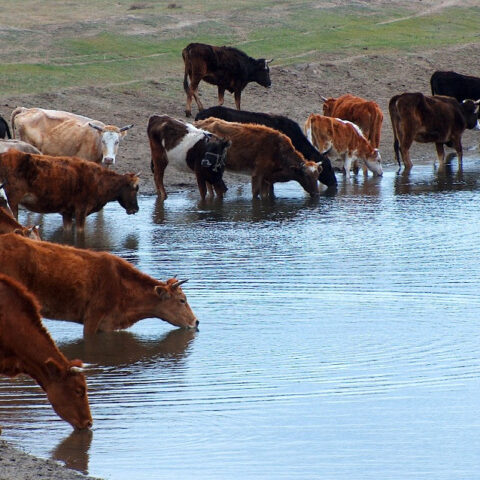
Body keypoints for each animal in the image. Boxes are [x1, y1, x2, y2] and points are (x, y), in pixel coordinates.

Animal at [0, 151, 139, 232]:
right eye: (135, 188)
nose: (136, 209)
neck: (99, 181)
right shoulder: (81, 210)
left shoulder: (67, 212)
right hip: (12, 201)